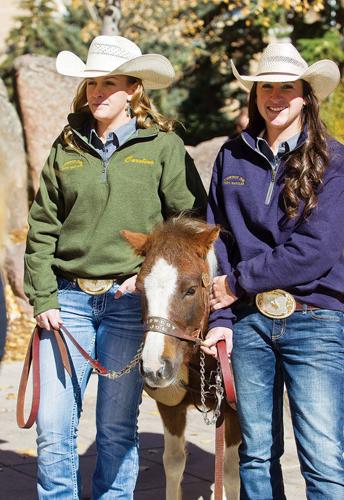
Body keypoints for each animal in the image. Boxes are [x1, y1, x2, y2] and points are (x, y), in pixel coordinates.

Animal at [122, 217, 241, 500]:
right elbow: (174, 463)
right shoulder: (170, 406)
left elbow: (231, 473)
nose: (154, 368)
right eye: (140, 289)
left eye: (190, 290)